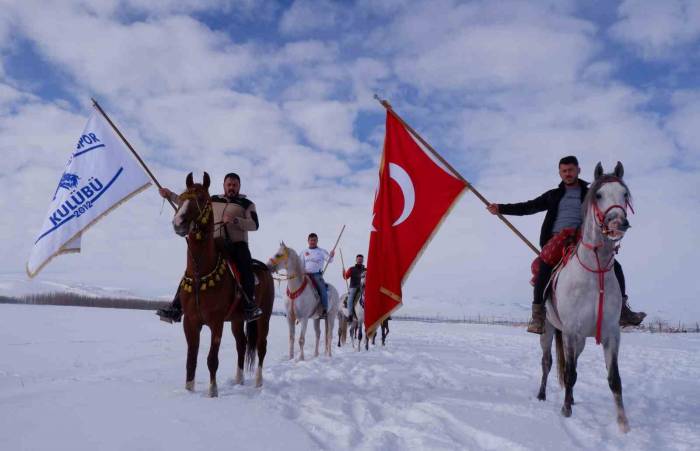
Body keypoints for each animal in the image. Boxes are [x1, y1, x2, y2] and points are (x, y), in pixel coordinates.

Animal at [172, 173, 274, 396]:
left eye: (202, 198)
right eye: (181, 197)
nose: (178, 222)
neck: (201, 272)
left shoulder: (216, 322)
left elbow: (212, 359)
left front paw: (213, 392)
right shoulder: (190, 322)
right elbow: (191, 359)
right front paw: (189, 391)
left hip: (264, 317)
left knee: (261, 346)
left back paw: (258, 382)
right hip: (237, 319)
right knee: (242, 345)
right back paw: (239, 380)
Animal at [540, 163, 632, 434]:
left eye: (624, 194)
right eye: (598, 195)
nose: (618, 223)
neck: (594, 273)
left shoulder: (612, 333)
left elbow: (614, 379)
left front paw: (623, 423)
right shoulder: (571, 331)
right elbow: (569, 374)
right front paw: (565, 411)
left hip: (579, 340)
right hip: (549, 330)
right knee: (547, 362)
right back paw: (542, 395)